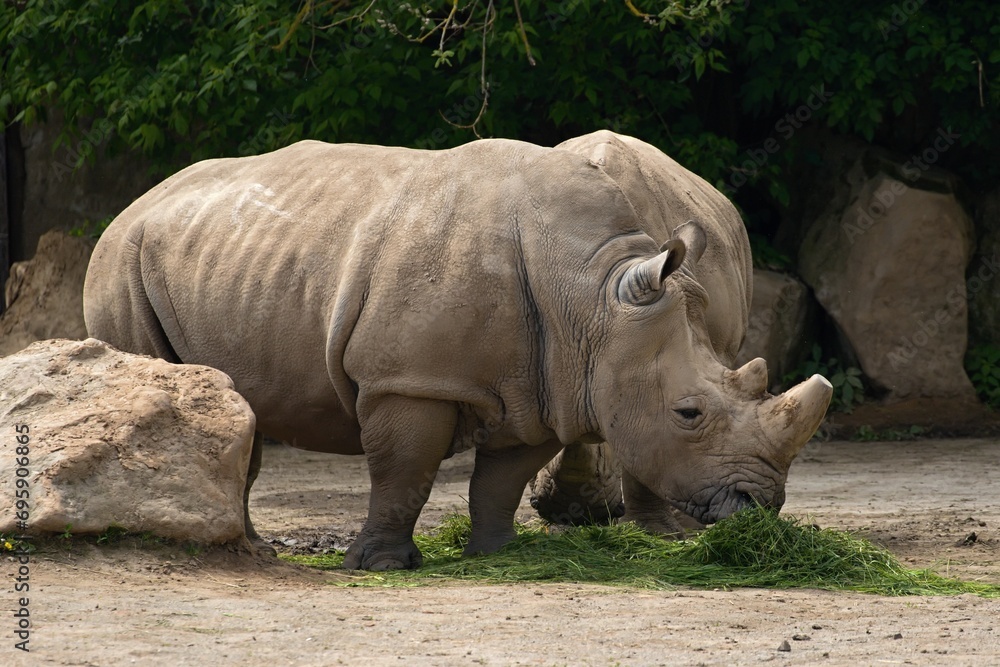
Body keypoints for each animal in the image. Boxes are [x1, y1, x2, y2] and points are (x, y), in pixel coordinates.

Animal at [83, 130, 832, 571]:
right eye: (688, 413)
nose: (759, 506)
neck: (593, 300)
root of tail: (134, 202)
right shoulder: (410, 377)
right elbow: (405, 471)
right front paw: (381, 566)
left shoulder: (552, 382)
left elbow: (500, 477)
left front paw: (498, 552)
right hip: (122, 260)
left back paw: (253, 545)